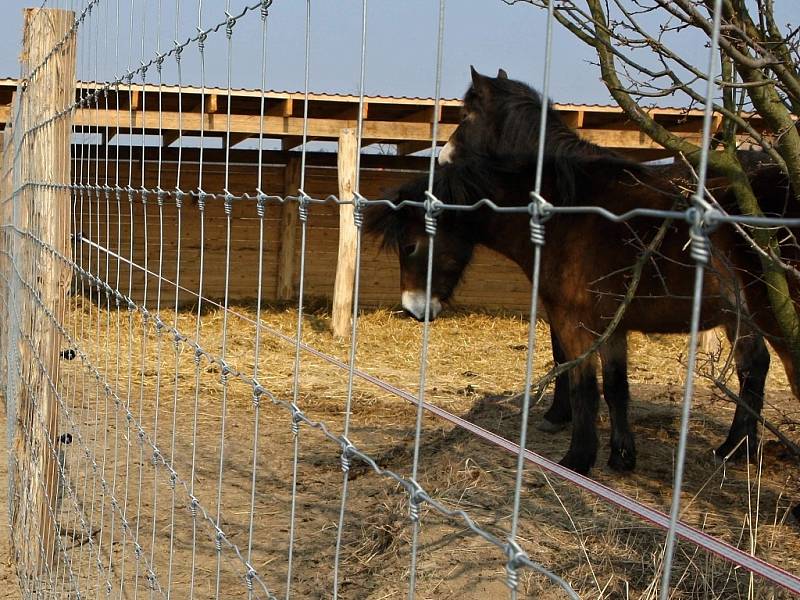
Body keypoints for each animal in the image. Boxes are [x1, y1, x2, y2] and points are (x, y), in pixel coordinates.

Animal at [366, 71, 796, 474]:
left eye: (410, 246)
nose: (413, 308)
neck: (564, 211)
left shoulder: (572, 320)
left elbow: (581, 383)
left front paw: (576, 454)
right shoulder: (611, 326)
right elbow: (616, 387)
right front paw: (621, 456)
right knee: (752, 368)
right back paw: (736, 448)